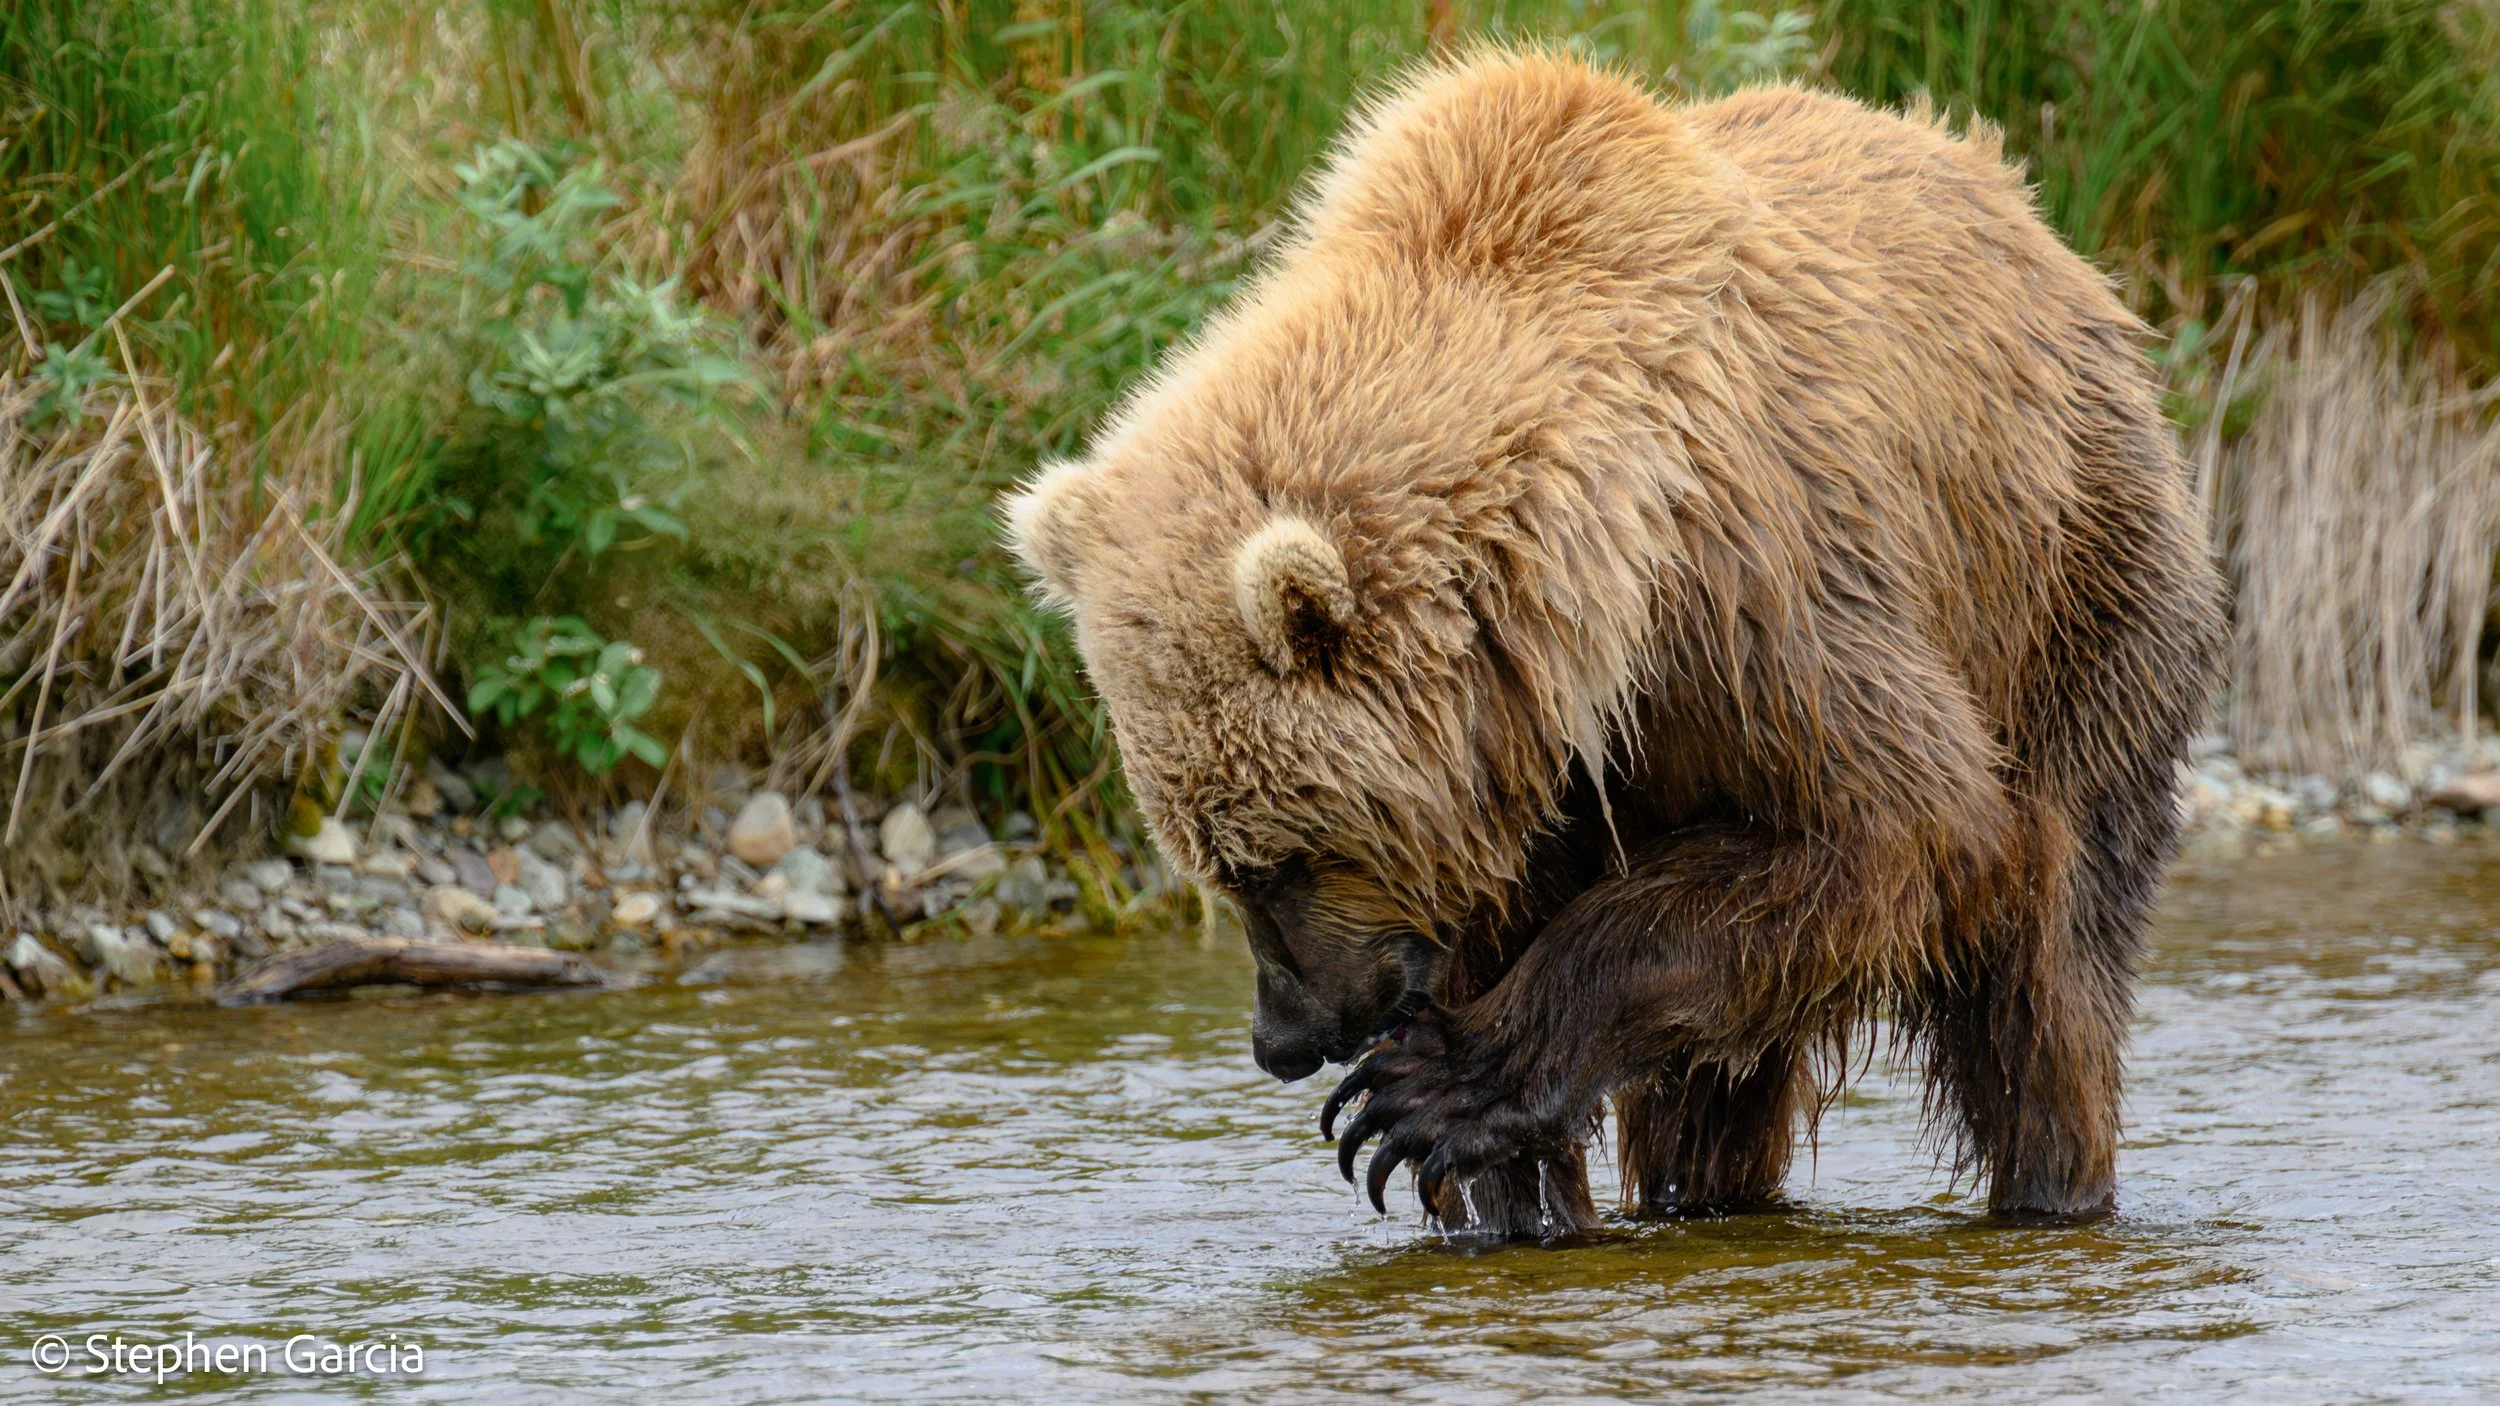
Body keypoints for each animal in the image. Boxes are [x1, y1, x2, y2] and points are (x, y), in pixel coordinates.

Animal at [1003, 49, 2223, 1236]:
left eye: (1273, 858)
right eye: (1207, 860)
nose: (1285, 1037)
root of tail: (2047, 235)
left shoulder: (1754, 602)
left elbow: (1900, 821)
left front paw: (1438, 1087)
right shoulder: (1524, 762)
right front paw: (1502, 1190)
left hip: (2069, 587)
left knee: (2047, 966)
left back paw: (2050, 1185)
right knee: (1719, 1083)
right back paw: (1704, 1196)